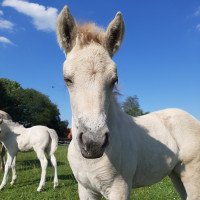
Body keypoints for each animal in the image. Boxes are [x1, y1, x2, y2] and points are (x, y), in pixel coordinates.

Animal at [55, 5, 200, 200]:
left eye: (114, 80)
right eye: (67, 79)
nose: (93, 143)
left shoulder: (119, 188)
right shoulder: (85, 189)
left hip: (192, 175)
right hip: (176, 174)